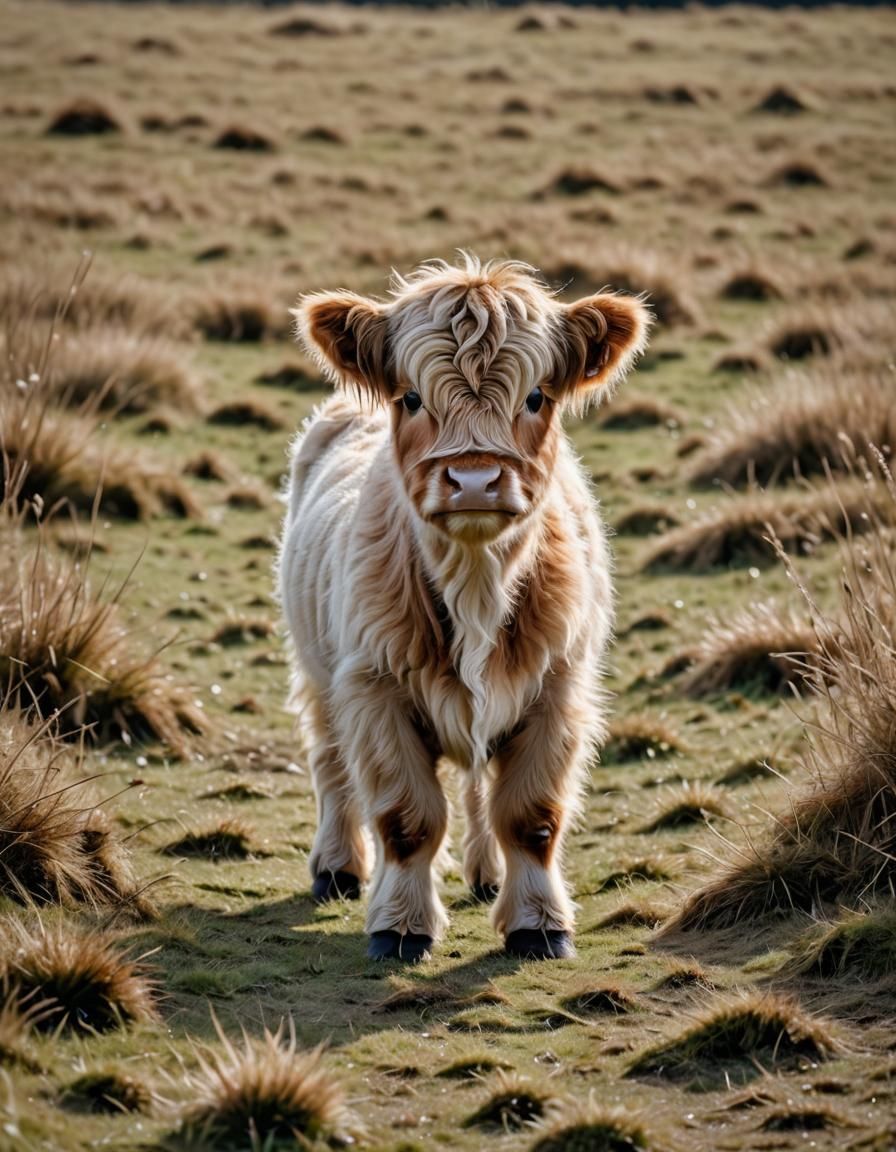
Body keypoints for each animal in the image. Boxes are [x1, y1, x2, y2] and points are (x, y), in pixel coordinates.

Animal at [277, 255, 650, 962]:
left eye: (536, 397)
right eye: (411, 398)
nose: (474, 480)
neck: (477, 586)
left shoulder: (558, 688)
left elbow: (530, 816)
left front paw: (539, 924)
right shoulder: (374, 688)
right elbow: (408, 819)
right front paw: (399, 928)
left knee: (479, 788)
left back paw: (486, 873)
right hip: (319, 670)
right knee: (330, 761)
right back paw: (337, 867)